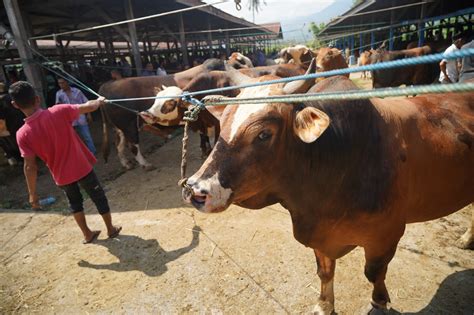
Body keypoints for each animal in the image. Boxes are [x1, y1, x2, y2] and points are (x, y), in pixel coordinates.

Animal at [183, 74, 474, 314]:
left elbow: (374, 273)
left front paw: (379, 302)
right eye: (223, 123)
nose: (195, 189)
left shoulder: (387, 235)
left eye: (264, 134)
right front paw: (324, 305)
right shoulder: (321, 236)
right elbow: (324, 271)